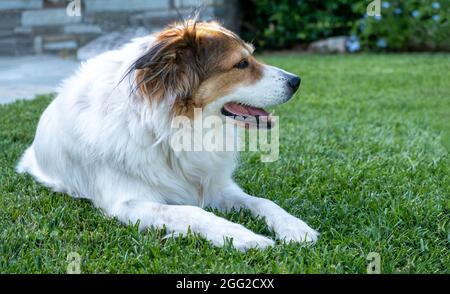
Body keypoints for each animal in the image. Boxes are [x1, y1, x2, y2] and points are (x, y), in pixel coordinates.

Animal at [17, 20, 318, 250]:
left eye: (252, 56)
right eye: (241, 64)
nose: (297, 81)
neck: (174, 127)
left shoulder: (216, 185)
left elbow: (262, 201)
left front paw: (295, 227)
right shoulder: (128, 203)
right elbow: (193, 211)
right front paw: (243, 237)